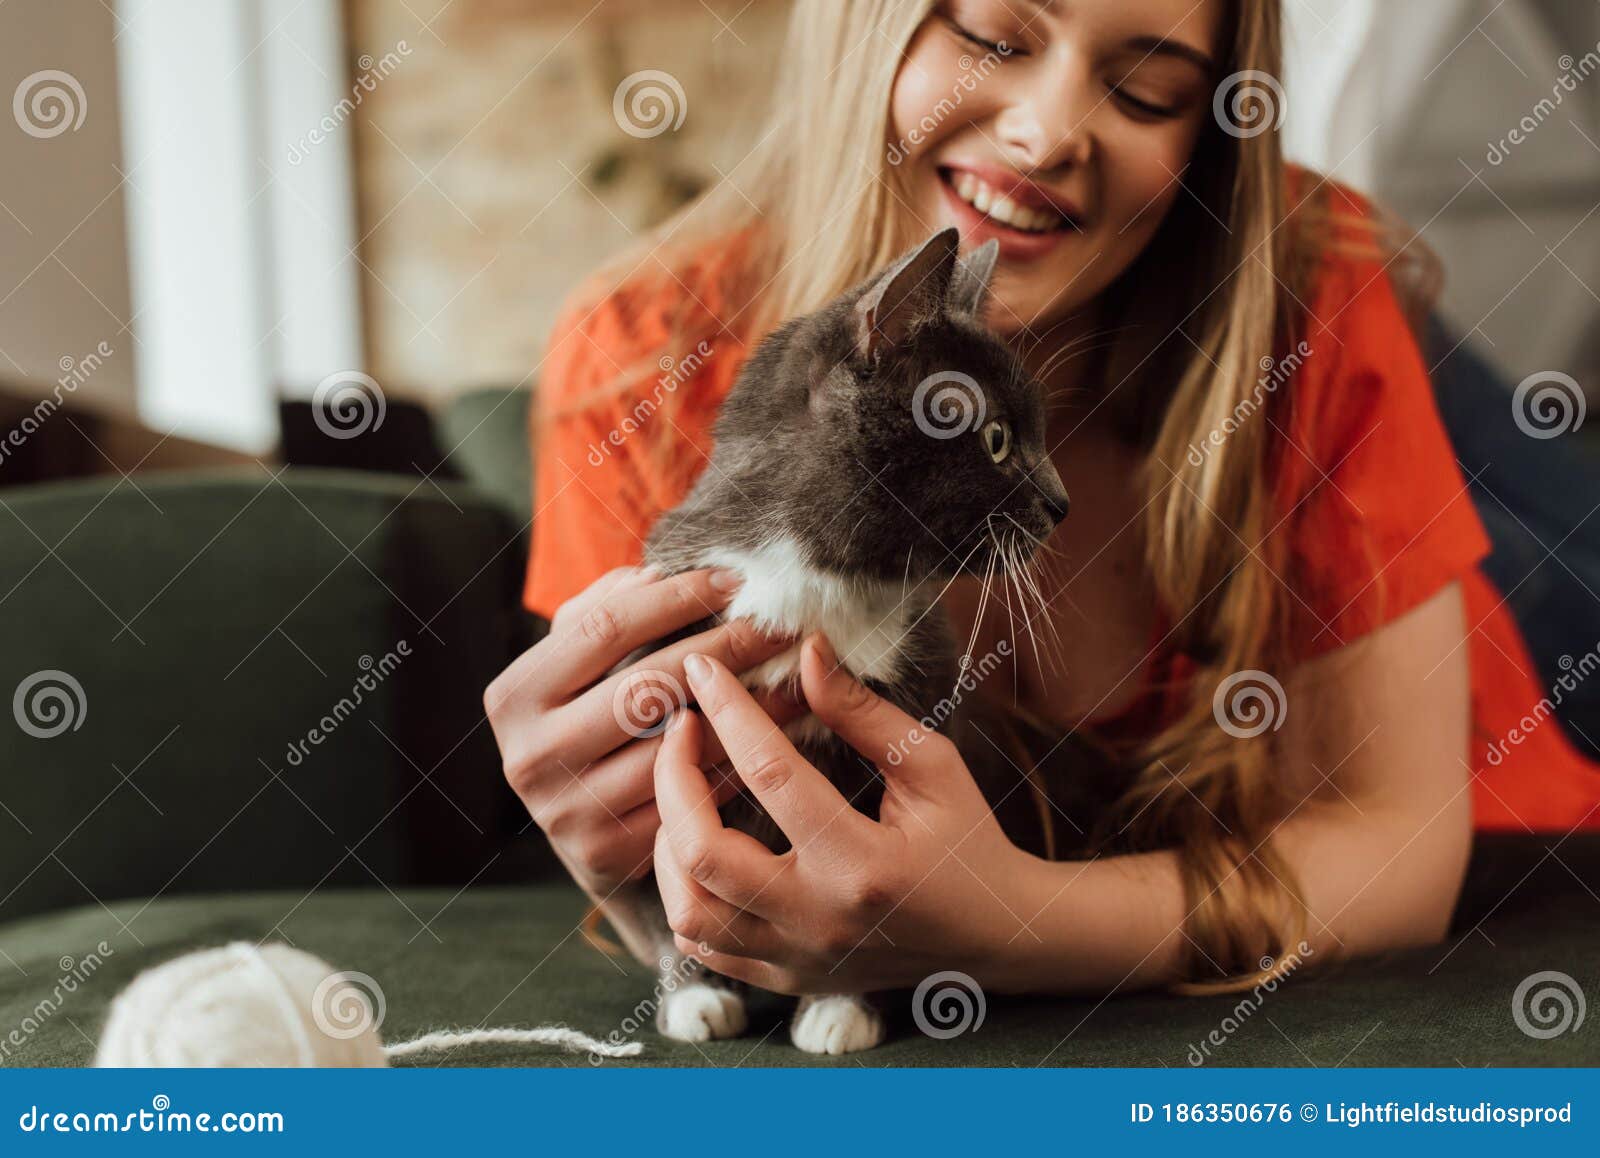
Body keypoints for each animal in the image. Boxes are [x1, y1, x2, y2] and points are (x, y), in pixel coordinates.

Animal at [604, 228, 1068, 1055]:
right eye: (995, 439)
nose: (1062, 502)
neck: (819, 585)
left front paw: (841, 1009)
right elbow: (662, 886)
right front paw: (694, 995)